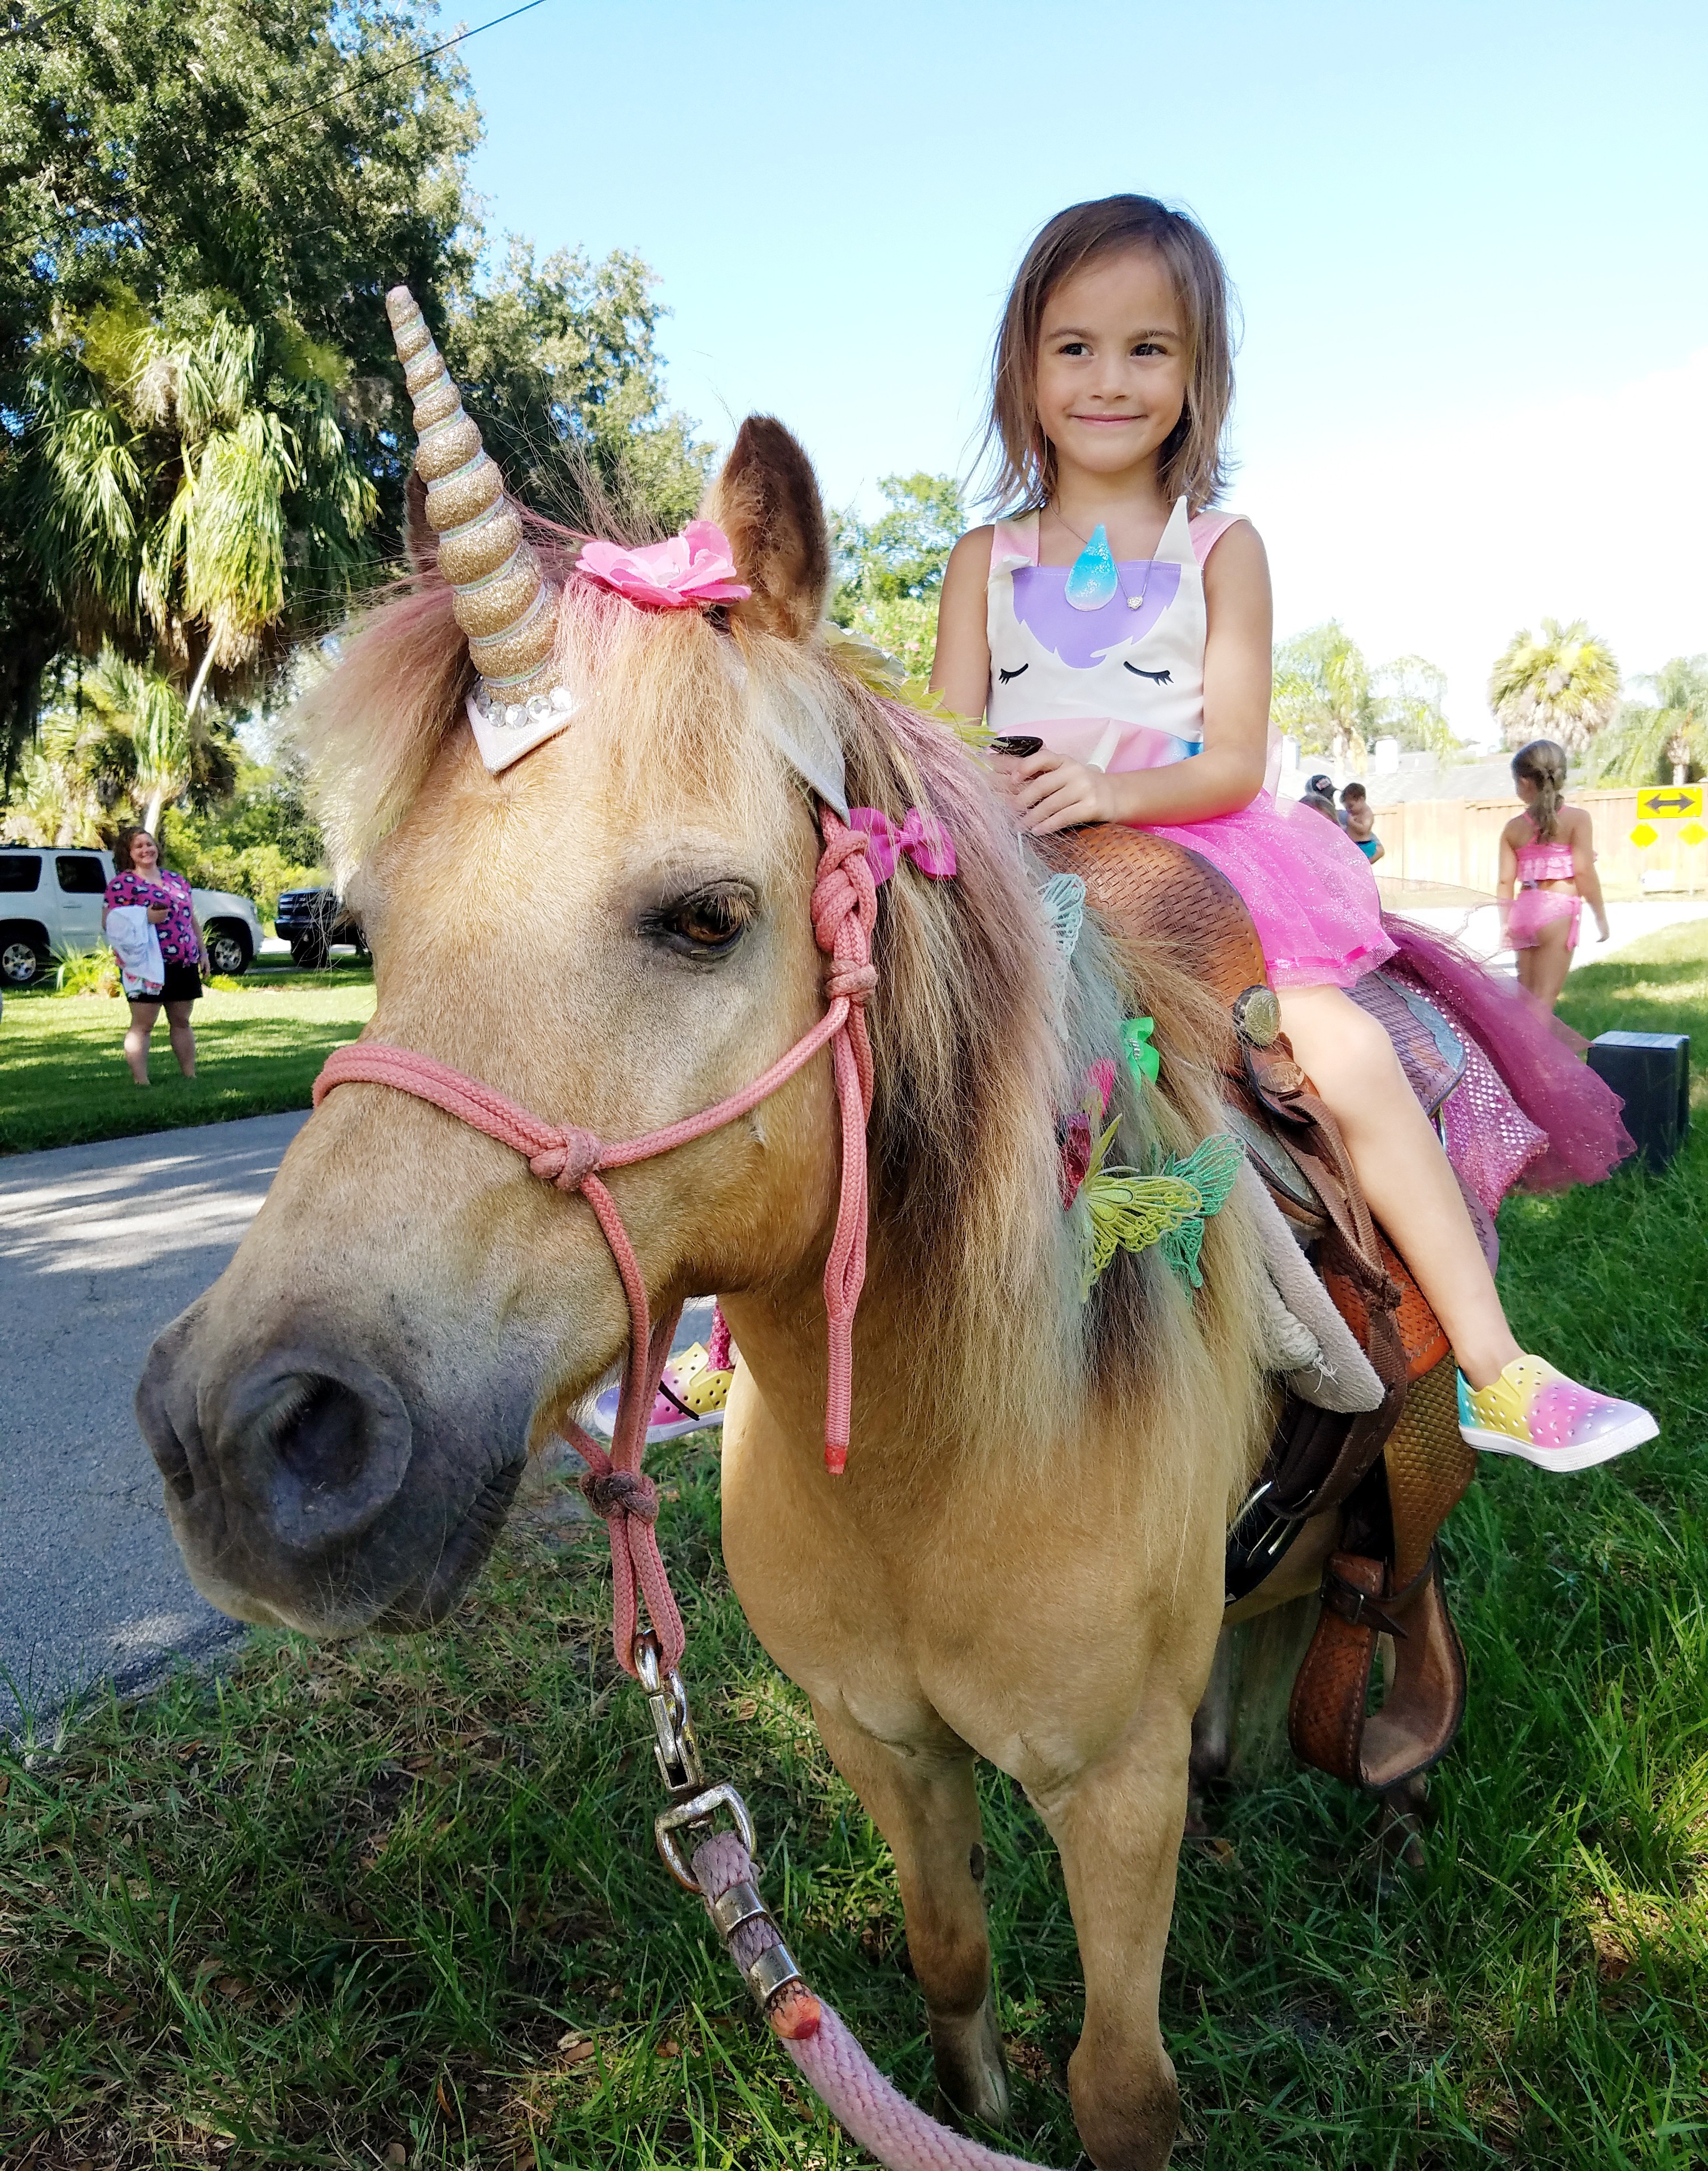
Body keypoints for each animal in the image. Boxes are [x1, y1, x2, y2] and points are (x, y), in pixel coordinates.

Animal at [138, 395, 1288, 2168]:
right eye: (371, 930)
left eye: (706, 918)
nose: (240, 1439)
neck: (945, 1452)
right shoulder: (877, 1742)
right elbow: (948, 1961)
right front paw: (976, 2098)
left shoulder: (1115, 1791)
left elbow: (1123, 2091)